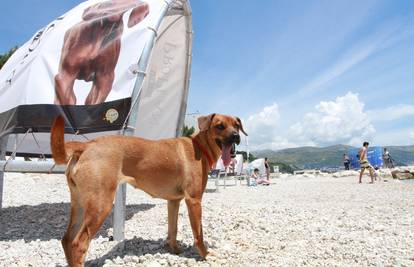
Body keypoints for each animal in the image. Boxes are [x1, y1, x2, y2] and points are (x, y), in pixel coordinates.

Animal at [50, 113, 247, 267]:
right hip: (100, 205)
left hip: (80, 204)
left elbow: (173, 229)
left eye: (237, 125)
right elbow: (199, 233)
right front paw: (205, 255)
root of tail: (87, 145)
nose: (236, 136)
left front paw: (174, 249)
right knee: (78, 244)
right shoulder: (194, 200)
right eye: (220, 126)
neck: (199, 146)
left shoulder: (173, 201)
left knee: (66, 240)